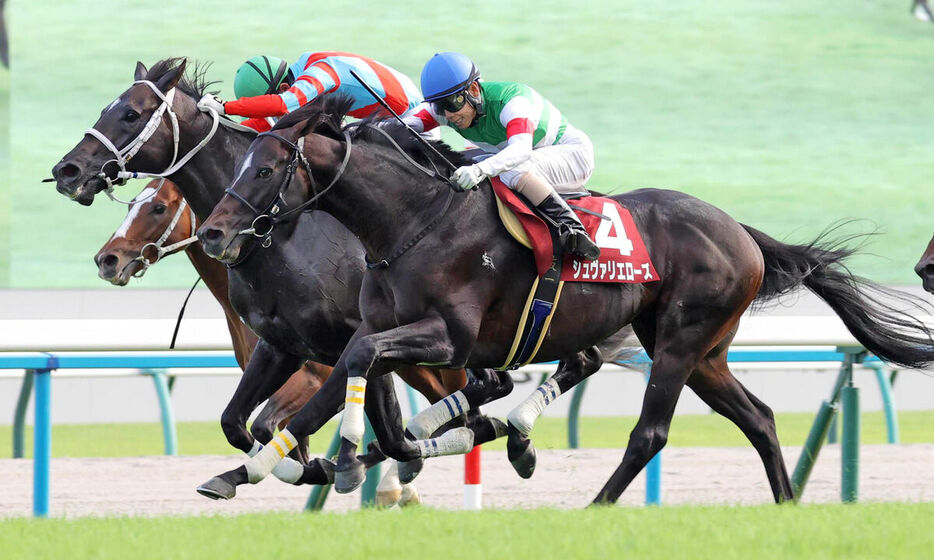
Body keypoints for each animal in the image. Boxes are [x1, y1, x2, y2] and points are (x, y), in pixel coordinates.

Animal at [49, 59, 498, 490]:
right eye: (105, 110)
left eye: (130, 113)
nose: (66, 170)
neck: (281, 238)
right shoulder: (282, 347)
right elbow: (240, 424)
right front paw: (305, 469)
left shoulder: (337, 356)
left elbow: (324, 420)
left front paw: (338, 467)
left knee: (479, 395)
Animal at [197, 91, 934, 504]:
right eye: (240, 163)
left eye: (267, 168)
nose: (215, 232)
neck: (411, 223)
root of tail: (741, 231)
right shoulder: (375, 331)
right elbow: (373, 395)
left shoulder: (446, 337)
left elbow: (362, 374)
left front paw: (343, 460)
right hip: (700, 351)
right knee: (758, 418)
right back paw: (785, 504)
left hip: (681, 341)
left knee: (649, 431)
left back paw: (595, 506)